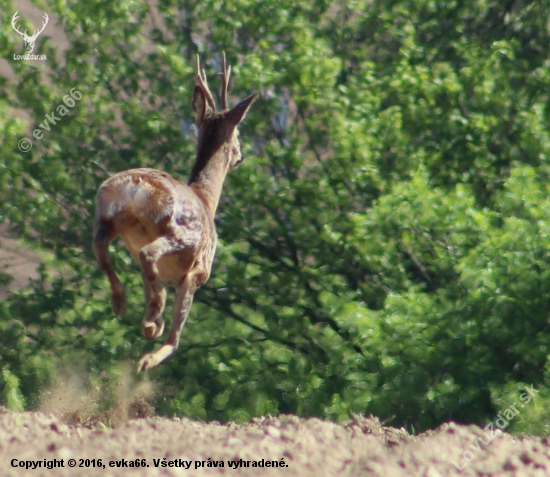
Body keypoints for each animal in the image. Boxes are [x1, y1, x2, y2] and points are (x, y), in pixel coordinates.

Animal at [94, 53, 258, 372]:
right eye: (238, 134)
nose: (241, 156)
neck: (206, 199)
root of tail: (136, 185)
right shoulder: (198, 271)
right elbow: (176, 338)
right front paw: (152, 343)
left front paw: (151, 321)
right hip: (180, 231)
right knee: (147, 255)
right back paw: (149, 325)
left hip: (107, 216)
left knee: (102, 250)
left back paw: (124, 304)